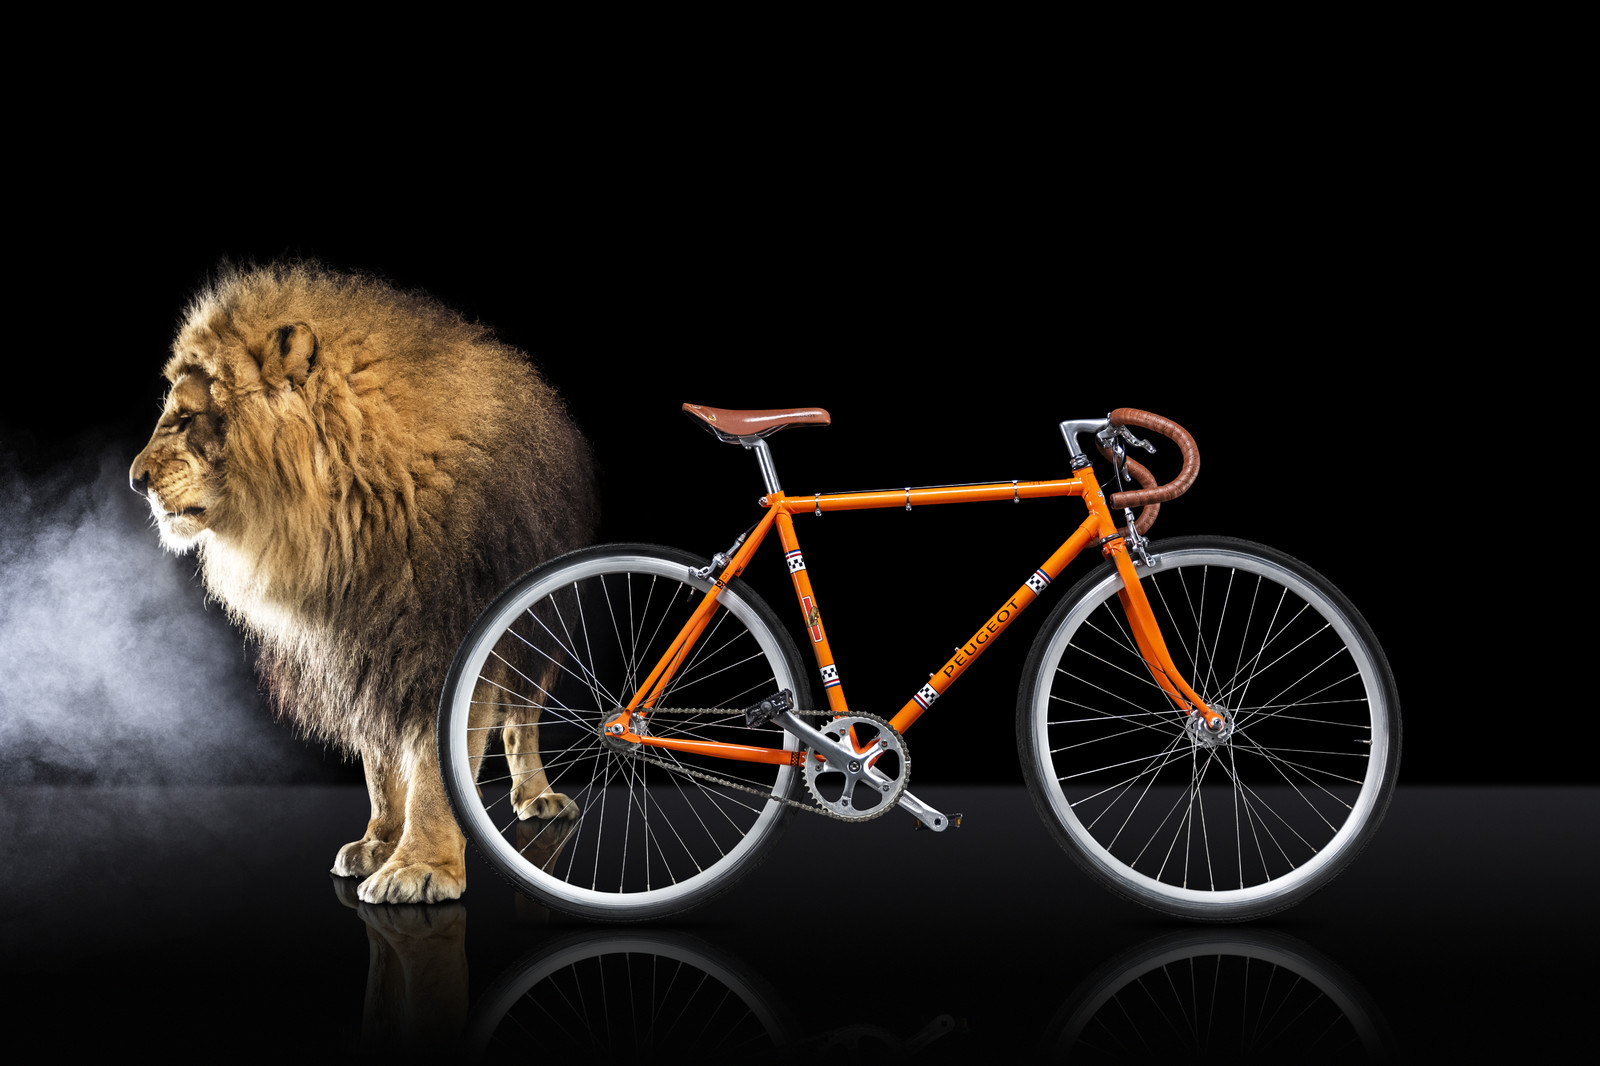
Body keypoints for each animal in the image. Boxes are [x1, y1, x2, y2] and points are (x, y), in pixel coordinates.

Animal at [129, 262, 599, 903]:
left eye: (184, 417)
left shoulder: (446, 637)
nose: (135, 480)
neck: (347, 520)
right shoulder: (362, 645)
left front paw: (420, 866)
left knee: (521, 718)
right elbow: (380, 763)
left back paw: (535, 797)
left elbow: (435, 765)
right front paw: (380, 842)